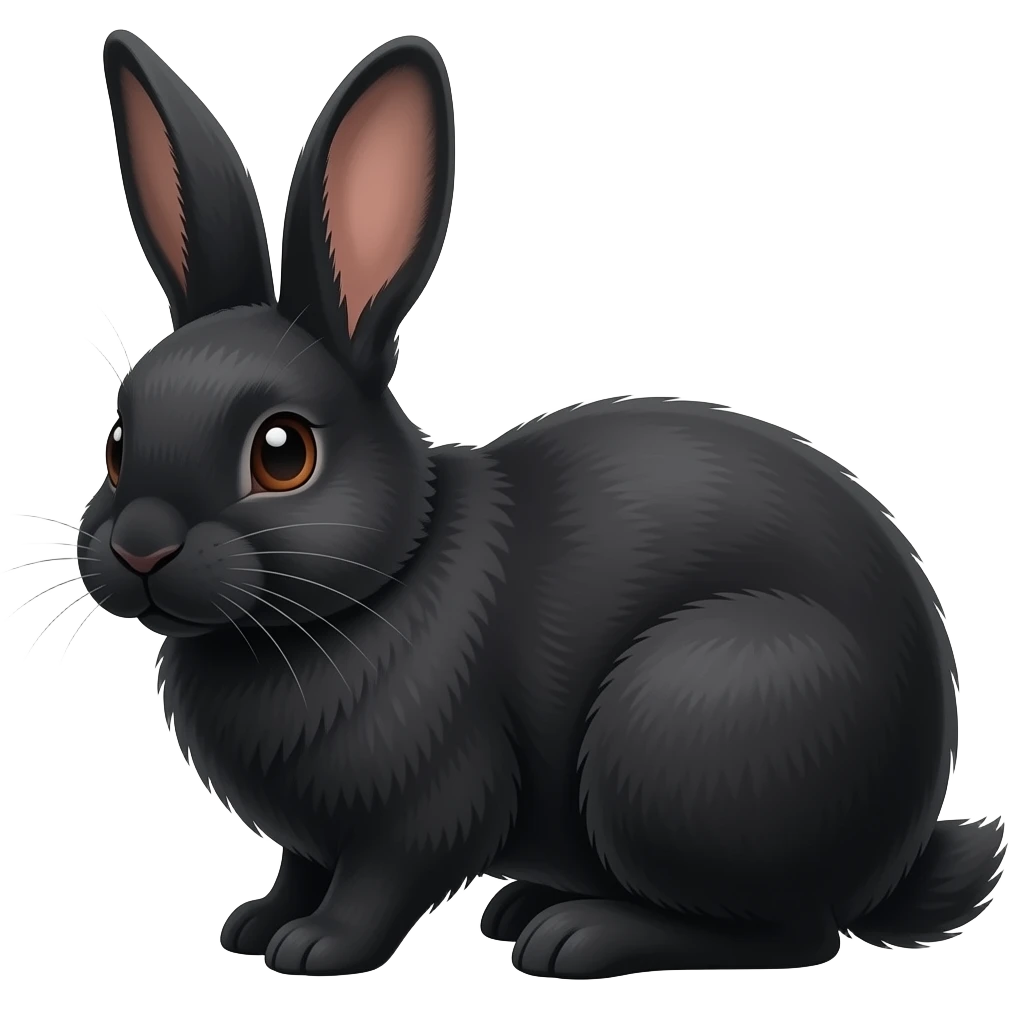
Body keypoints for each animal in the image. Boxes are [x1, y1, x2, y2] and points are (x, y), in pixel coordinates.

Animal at [85, 30, 1005, 981]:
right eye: (115, 443)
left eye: (282, 453)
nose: (141, 546)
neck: (375, 585)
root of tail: (894, 853)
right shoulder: (311, 837)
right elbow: (300, 866)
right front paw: (254, 923)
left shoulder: (427, 804)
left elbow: (383, 878)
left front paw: (317, 946)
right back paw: (528, 904)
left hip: (688, 726)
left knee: (794, 931)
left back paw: (576, 934)